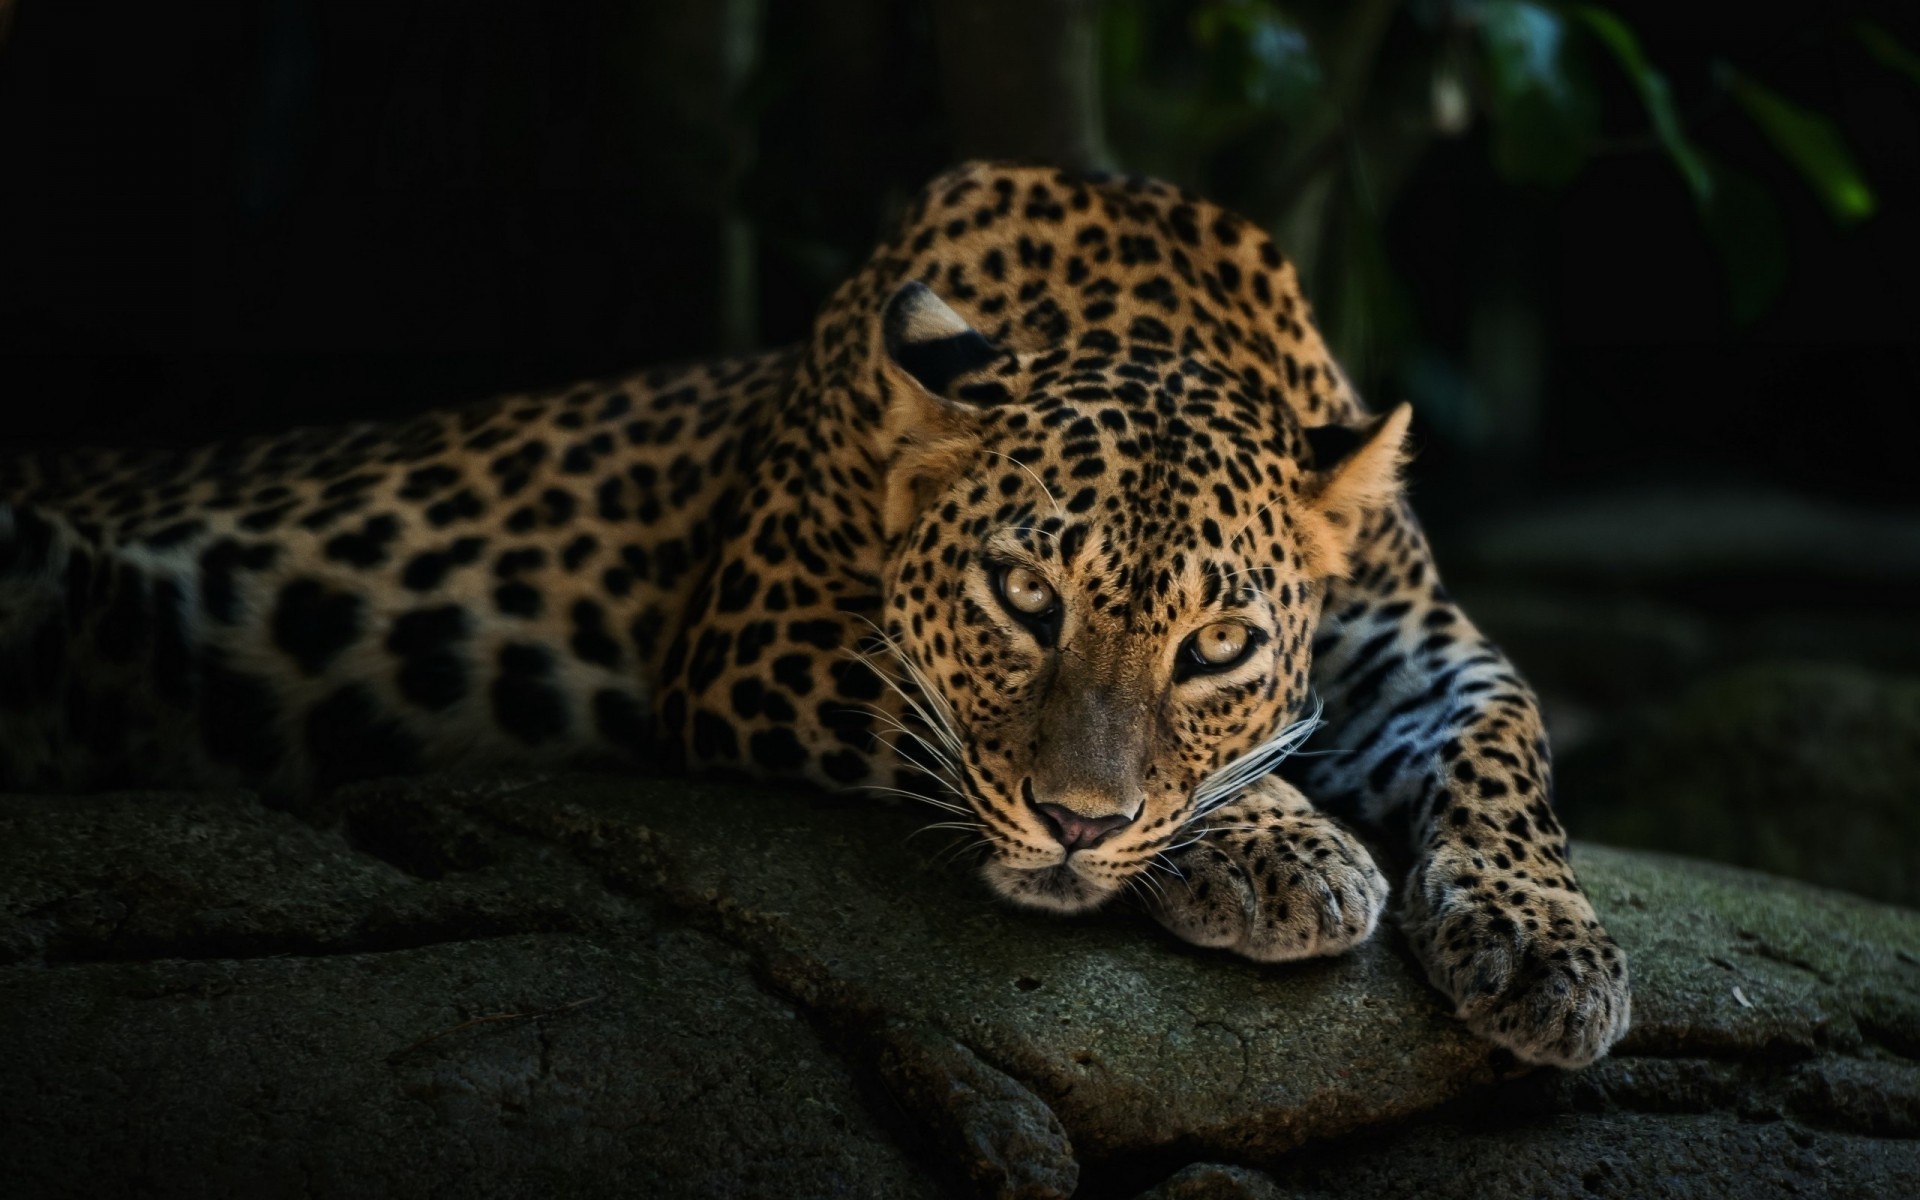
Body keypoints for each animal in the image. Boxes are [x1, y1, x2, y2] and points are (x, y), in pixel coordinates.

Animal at [0, 161, 1629, 1068]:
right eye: (1022, 597)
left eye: (1217, 646)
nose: (1080, 829)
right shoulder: (756, 637)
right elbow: (955, 729)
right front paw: (1287, 847)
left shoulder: (1420, 644)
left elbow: (1511, 744)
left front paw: (1547, 947)